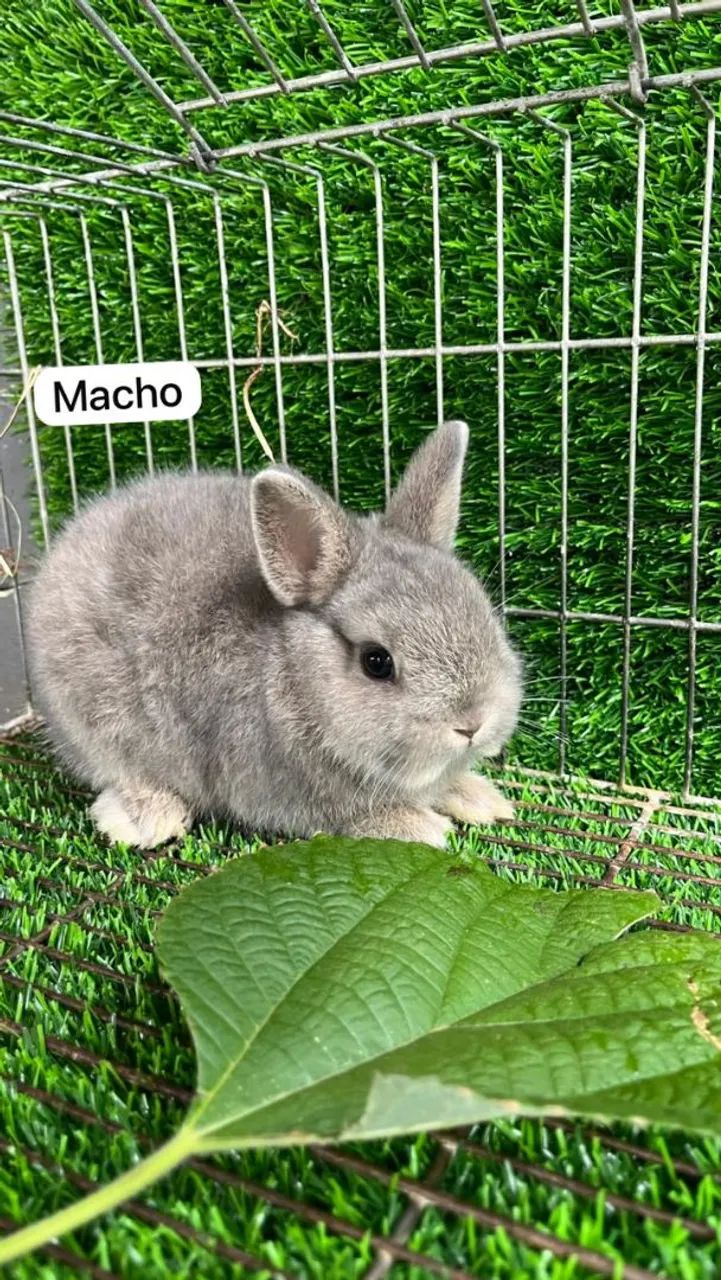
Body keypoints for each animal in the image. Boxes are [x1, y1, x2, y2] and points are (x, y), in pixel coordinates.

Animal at [27, 420, 522, 850]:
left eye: (483, 615)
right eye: (377, 662)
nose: (472, 723)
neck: (295, 682)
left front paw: (482, 800)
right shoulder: (280, 790)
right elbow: (346, 816)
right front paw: (418, 826)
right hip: (93, 728)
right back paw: (149, 816)